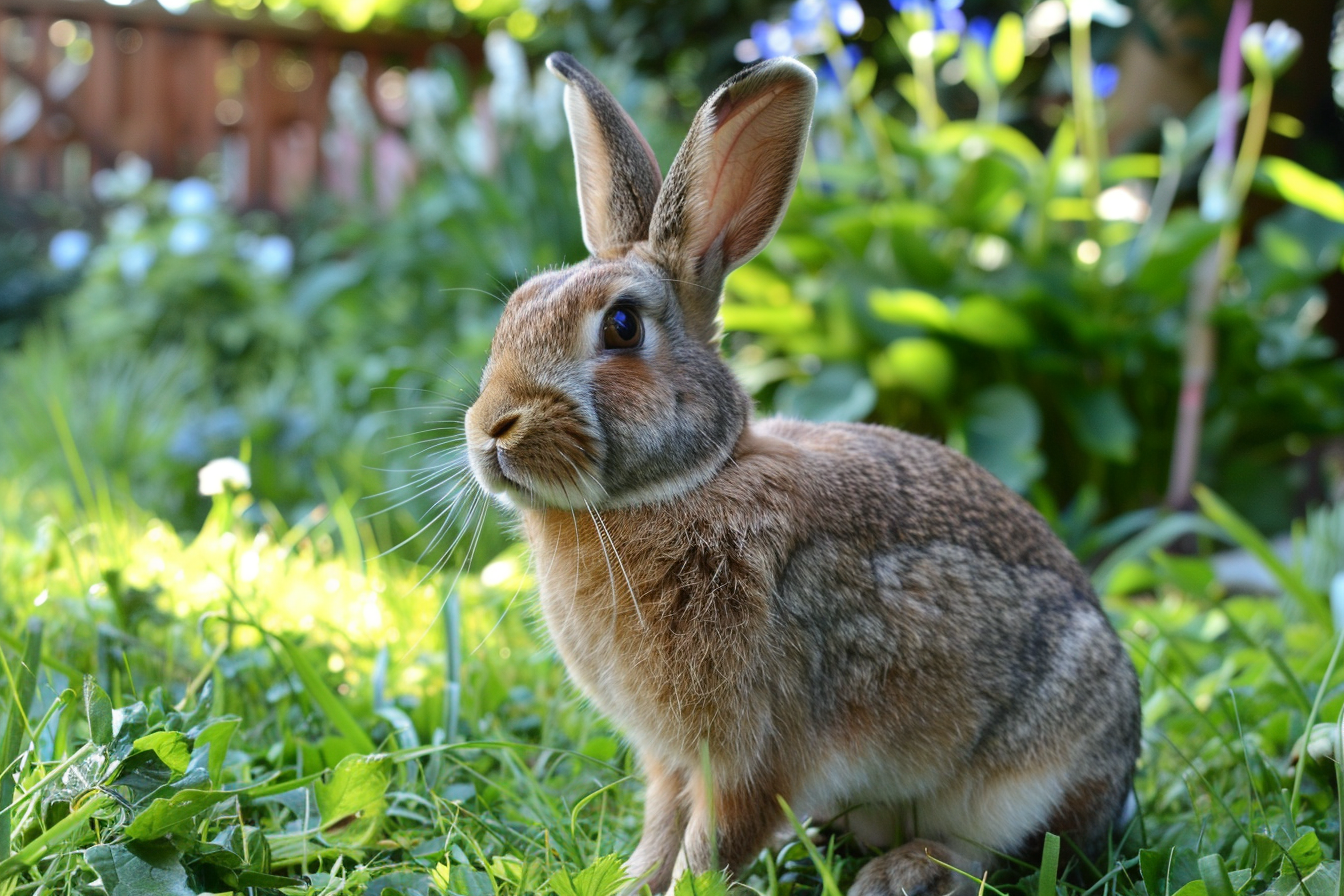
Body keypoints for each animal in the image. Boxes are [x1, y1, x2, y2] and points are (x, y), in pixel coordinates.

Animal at [463, 52, 1141, 896]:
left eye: (621, 327)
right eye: (516, 307)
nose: (491, 427)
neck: (685, 486)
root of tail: (1120, 777)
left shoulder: (752, 755)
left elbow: (710, 847)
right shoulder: (670, 760)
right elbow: (659, 831)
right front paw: (629, 882)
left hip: (1031, 763)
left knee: (993, 849)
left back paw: (901, 872)